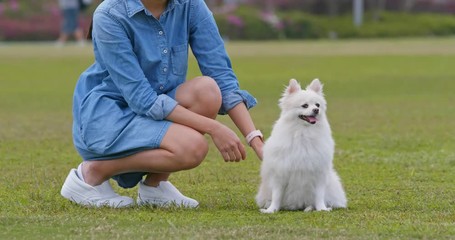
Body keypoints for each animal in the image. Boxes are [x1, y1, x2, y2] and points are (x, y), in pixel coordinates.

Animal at [255, 79, 348, 214]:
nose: (316, 110)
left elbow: (319, 195)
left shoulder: (319, 173)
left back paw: (310, 207)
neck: (303, 133)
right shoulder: (280, 173)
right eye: (305, 105)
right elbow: (276, 195)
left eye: (317, 105)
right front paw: (272, 209)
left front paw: (322, 208)